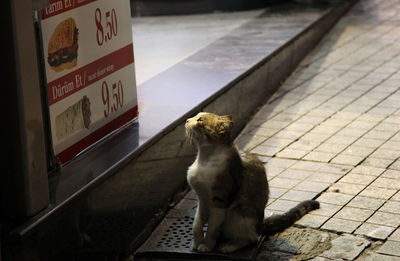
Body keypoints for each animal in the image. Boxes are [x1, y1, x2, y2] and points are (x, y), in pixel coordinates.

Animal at [184, 111, 318, 252]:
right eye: (196, 116)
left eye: (200, 119)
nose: (186, 120)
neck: (204, 159)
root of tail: (260, 224)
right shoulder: (201, 200)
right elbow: (196, 224)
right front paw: (196, 243)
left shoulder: (220, 202)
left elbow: (212, 228)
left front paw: (207, 246)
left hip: (237, 215)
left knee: (252, 238)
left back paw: (230, 245)